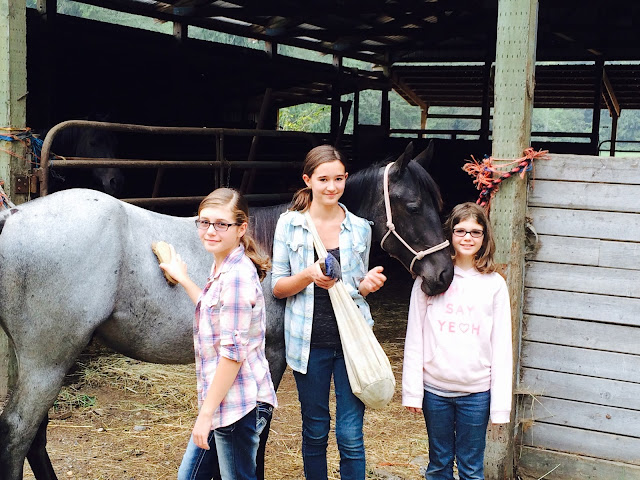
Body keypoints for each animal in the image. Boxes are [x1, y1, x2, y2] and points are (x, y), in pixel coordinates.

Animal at [0, 142, 454, 480]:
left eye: (441, 204)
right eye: (413, 206)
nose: (443, 275)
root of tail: (15, 215)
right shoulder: (270, 355)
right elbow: (258, 434)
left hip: (39, 360)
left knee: (34, 438)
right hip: (48, 362)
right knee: (17, 434)